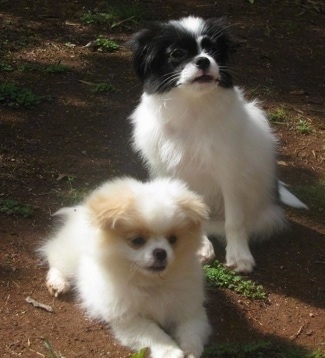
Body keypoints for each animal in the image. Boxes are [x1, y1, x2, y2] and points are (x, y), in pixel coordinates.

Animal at [39, 177, 210, 358]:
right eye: (137, 240)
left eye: (173, 239)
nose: (160, 252)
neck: (152, 283)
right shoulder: (128, 319)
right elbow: (155, 335)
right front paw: (171, 352)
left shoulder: (190, 309)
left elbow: (191, 331)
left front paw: (191, 350)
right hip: (70, 255)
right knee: (55, 260)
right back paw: (58, 283)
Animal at [127, 16, 306, 274]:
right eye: (177, 53)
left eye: (212, 50)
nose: (203, 60)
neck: (193, 107)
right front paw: (201, 246)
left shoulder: (230, 176)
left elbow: (235, 221)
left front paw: (239, 256)